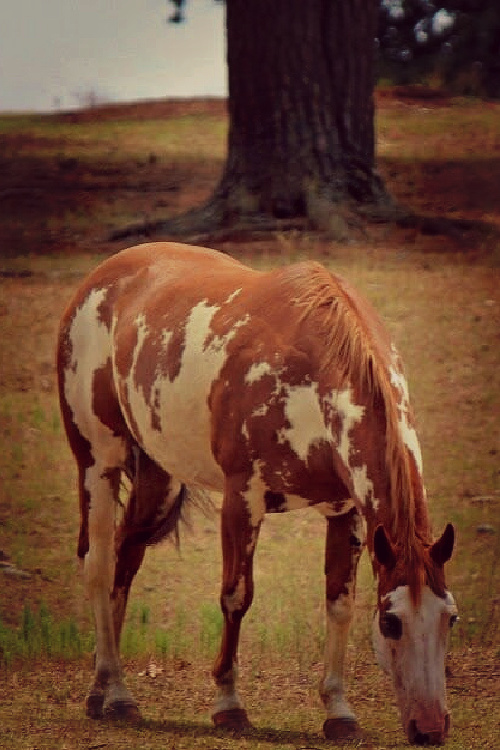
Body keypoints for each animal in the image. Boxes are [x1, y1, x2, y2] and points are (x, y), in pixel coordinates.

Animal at [57, 242, 457, 745]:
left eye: (451, 618)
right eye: (391, 622)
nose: (430, 728)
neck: (314, 375)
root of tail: (98, 280)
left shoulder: (347, 512)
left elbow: (339, 604)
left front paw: (339, 712)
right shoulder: (242, 500)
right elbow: (236, 595)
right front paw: (228, 706)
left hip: (159, 477)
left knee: (125, 559)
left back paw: (110, 689)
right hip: (98, 462)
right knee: (98, 564)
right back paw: (108, 692)